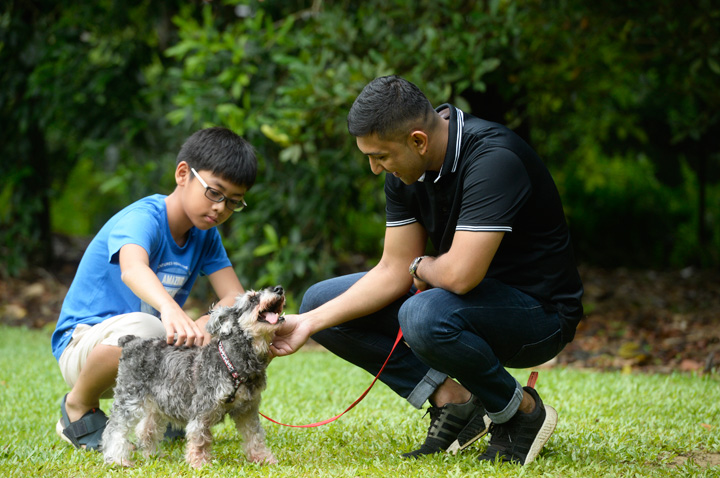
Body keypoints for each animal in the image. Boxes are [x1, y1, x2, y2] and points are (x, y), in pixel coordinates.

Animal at [102, 286, 286, 468]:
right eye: (252, 298)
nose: (278, 289)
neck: (233, 361)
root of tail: (131, 342)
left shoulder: (247, 410)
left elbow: (255, 436)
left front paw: (263, 458)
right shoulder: (203, 409)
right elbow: (200, 438)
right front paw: (199, 463)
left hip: (157, 402)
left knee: (146, 428)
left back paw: (154, 456)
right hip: (129, 397)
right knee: (115, 429)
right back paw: (117, 459)